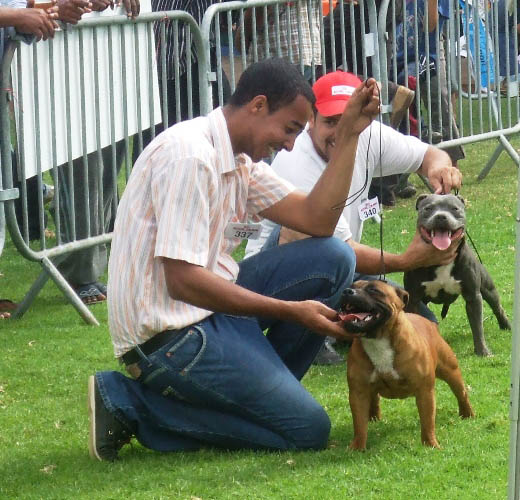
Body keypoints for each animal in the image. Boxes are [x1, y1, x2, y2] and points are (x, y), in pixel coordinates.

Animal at [339, 280, 474, 450]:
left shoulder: (425, 391)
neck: (377, 339)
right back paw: (373, 418)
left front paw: (430, 445)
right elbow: (359, 424)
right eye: (352, 286)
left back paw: (467, 414)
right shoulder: (358, 392)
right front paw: (357, 448)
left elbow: (427, 422)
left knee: (461, 393)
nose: (347, 291)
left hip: (451, 370)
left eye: (373, 290)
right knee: (374, 398)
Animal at [403, 194, 511, 357]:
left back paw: (506, 326)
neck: (441, 258)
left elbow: (477, 327)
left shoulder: (473, 296)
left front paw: (482, 351)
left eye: (454, 209)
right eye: (428, 208)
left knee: (497, 307)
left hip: (488, 289)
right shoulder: (413, 299)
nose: (441, 216)